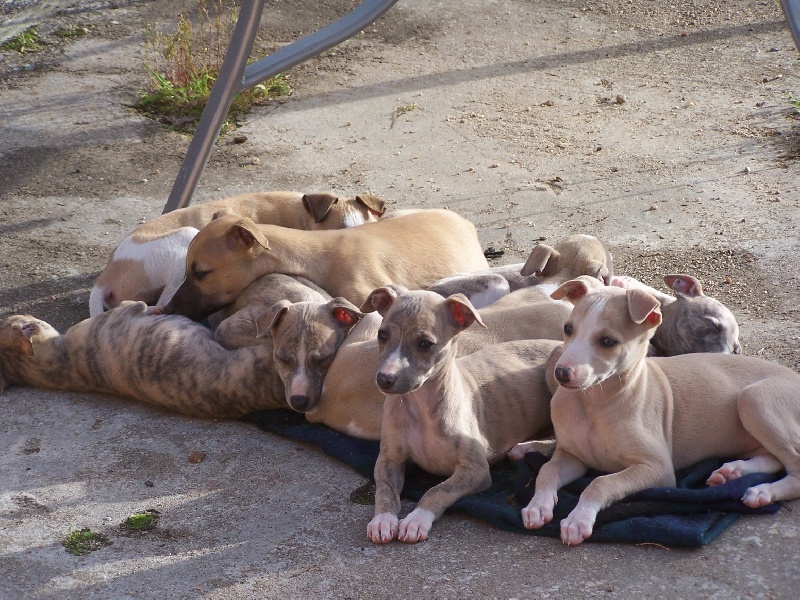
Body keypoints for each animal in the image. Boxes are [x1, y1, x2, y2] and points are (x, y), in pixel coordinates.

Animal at [520, 278, 800, 548]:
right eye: (568, 329)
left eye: (608, 341)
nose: (561, 373)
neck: (593, 404)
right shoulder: (573, 456)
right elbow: (546, 471)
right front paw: (538, 506)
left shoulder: (657, 468)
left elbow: (600, 483)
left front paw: (578, 520)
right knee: (773, 459)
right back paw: (733, 471)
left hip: (754, 399)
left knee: (794, 466)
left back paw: (762, 492)